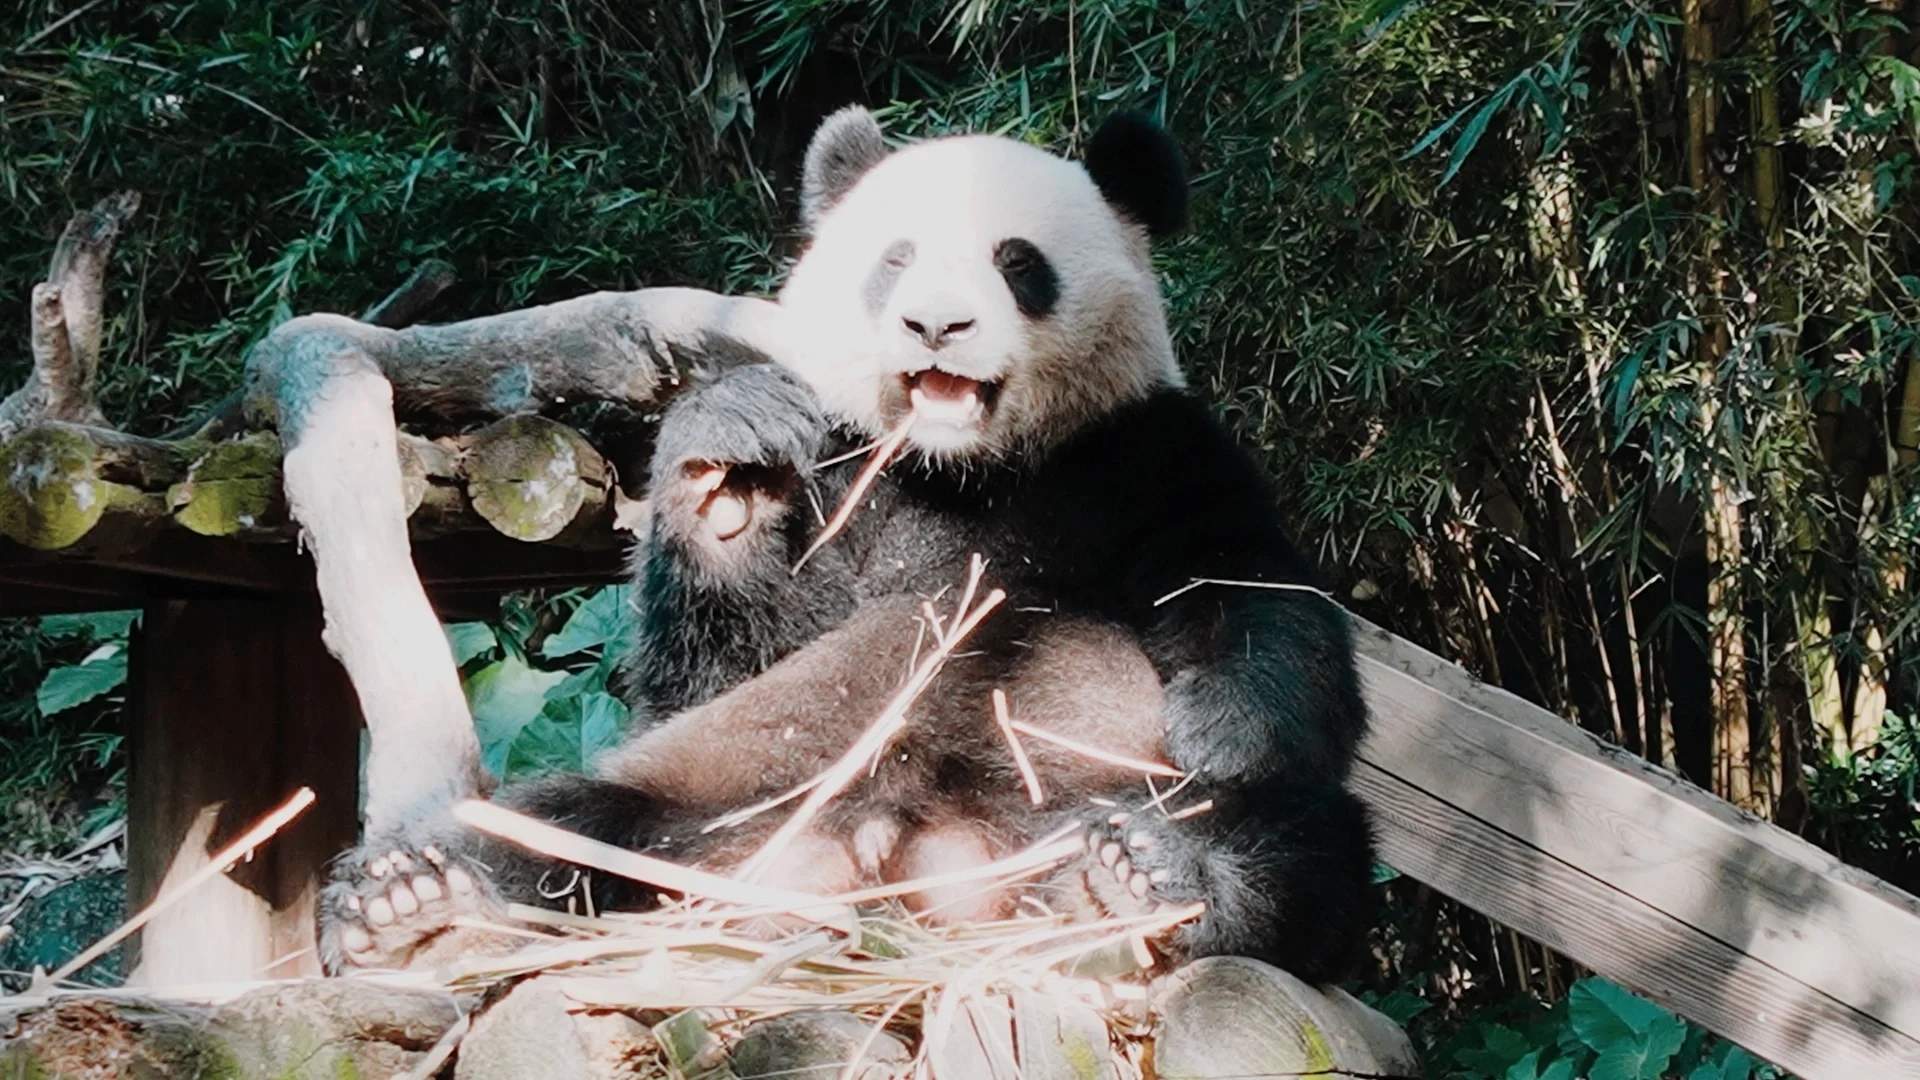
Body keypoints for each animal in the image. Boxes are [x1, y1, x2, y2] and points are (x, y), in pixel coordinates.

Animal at [322, 105, 1374, 980]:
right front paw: (729, 479)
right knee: (568, 821)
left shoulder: (1145, 452)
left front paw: (1219, 730)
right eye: (895, 260)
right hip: (720, 802)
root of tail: (908, 862)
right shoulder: (837, 464)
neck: (961, 468)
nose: (937, 324)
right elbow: (707, 673)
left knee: (1300, 848)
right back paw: (411, 897)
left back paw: (1144, 879)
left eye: (1017, 262)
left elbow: (1259, 601)